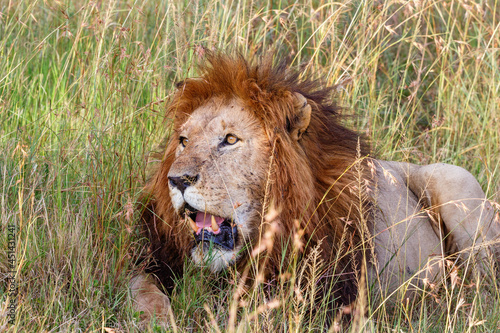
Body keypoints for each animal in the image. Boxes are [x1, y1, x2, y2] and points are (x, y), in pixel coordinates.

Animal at [130, 52, 500, 322]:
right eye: (183, 141)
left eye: (230, 139)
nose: (177, 180)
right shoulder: (156, 258)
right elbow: (141, 287)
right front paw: (159, 319)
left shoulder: (320, 294)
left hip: (455, 181)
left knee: (484, 292)